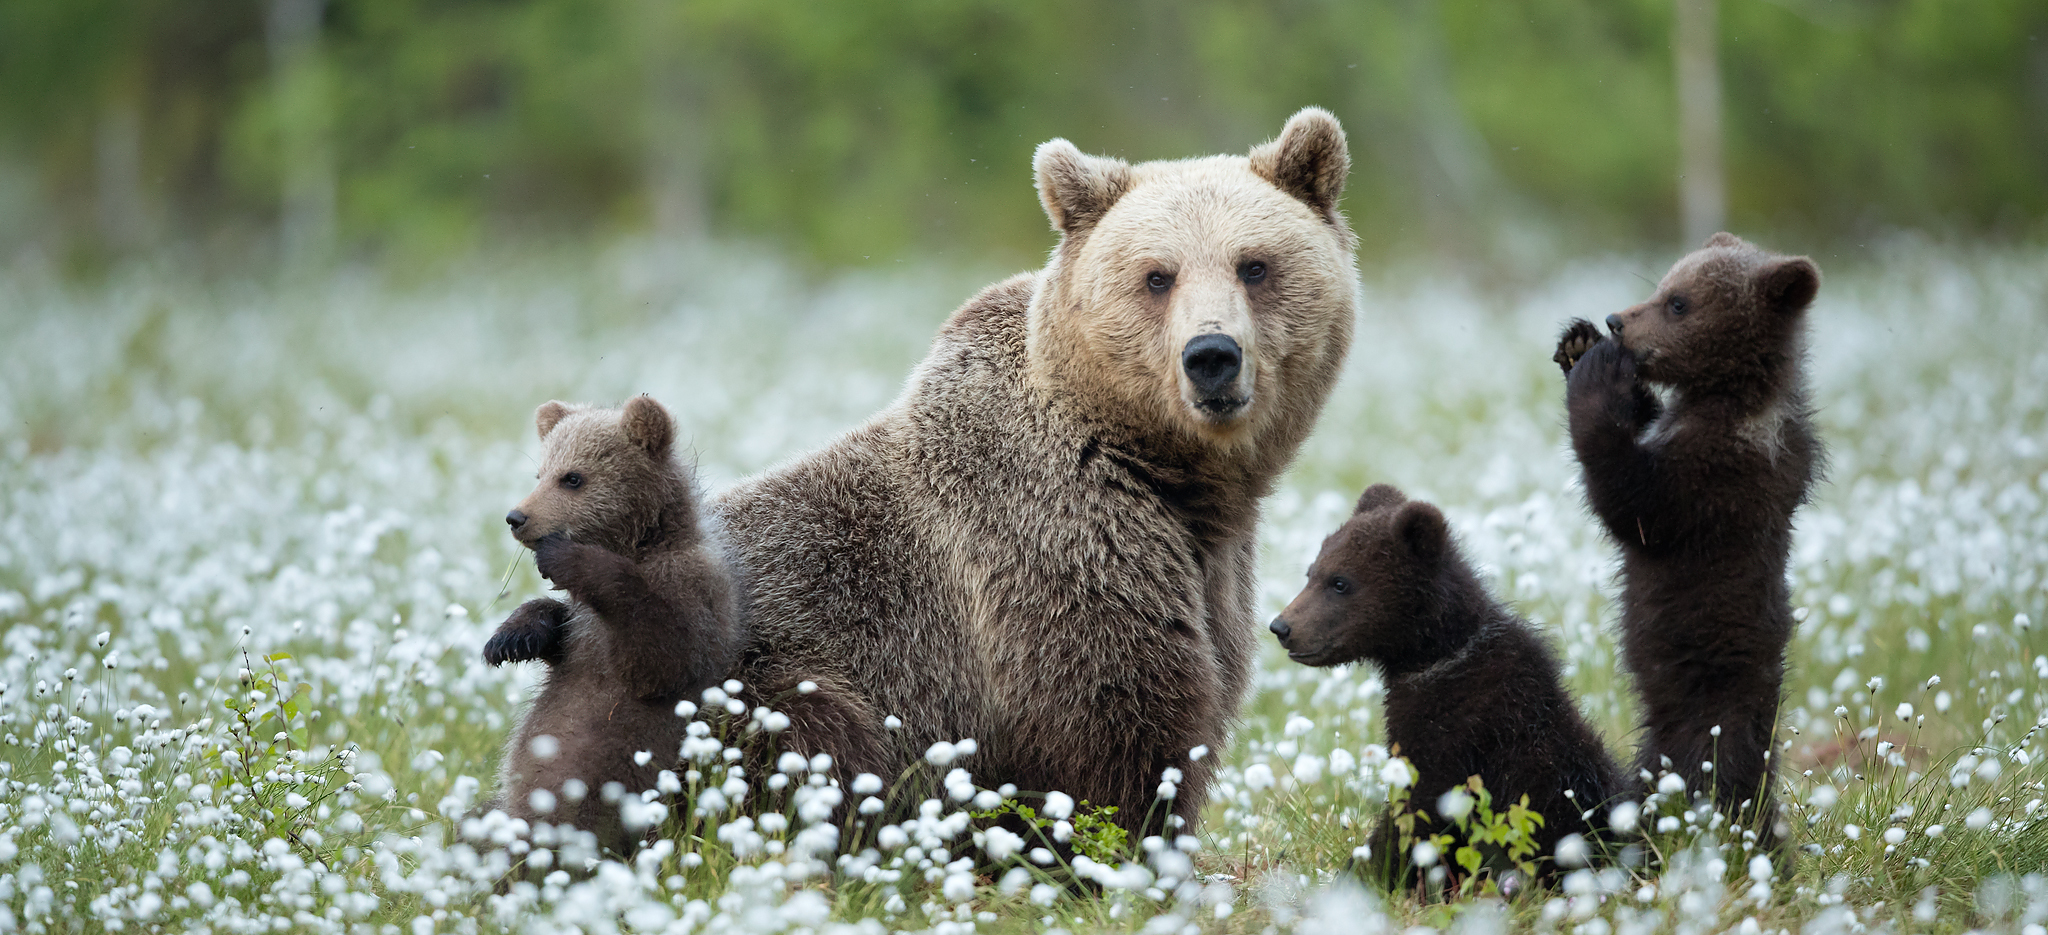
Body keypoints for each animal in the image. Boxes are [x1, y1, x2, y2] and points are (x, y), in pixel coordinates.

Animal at [482, 395, 741, 854]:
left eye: (573, 477)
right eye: (539, 473)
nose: (517, 517)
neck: (644, 541)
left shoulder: (695, 593)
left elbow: (660, 653)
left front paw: (567, 558)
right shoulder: (581, 630)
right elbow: (557, 625)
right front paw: (509, 638)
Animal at [704, 107, 1359, 834]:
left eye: (1255, 265)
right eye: (1158, 276)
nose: (1211, 355)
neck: (1166, 473)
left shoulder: (1215, 572)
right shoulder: (1054, 551)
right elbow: (1116, 729)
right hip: (758, 675)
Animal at [1269, 483, 1625, 888]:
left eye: (1340, 582)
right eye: (1311, 573)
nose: (1282, 627)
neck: (1433, 656)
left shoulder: (1460, 733)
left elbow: (1417, 815)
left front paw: (1367, 873)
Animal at [1554, 232, 1823, 849]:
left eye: (1679, 303)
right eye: (1662, 285)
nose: (1617, 320)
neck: (1728, 397)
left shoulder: (1716, 480)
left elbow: (1632, 503)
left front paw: (1598, 375)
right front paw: (1579, 343)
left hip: (1706, 716)